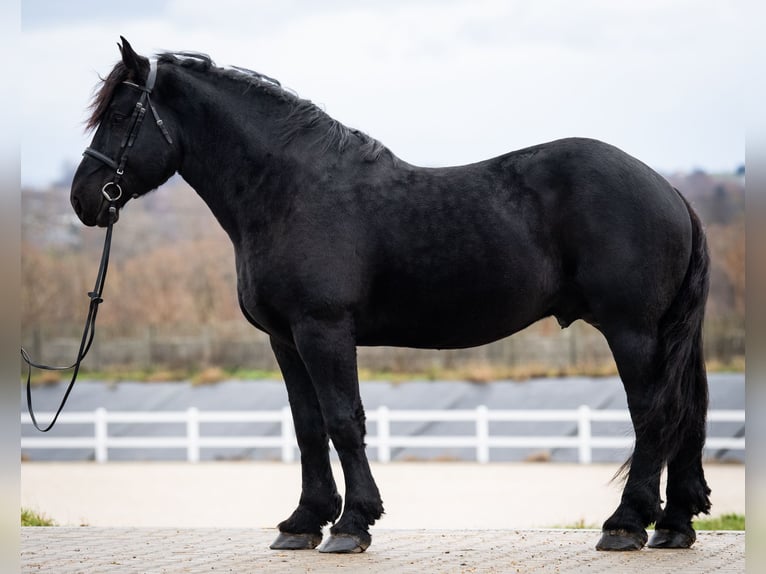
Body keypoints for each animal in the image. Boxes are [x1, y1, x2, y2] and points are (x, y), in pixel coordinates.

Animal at [70, 39, 712, 552]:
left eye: (122, 113)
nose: (84, 199)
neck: (288, 190)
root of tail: (668, 190)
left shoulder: (323, 328)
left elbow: (343, 419)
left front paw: (352, 524)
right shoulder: (285, 339)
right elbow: (307, 426)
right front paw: (303, 522)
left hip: (631, 329)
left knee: (653, 414)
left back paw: (626, 524)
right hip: (669, 333)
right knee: (690, 411)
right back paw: (674, 525)